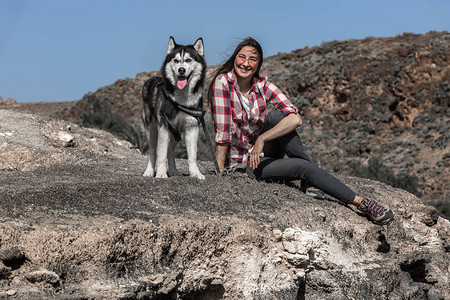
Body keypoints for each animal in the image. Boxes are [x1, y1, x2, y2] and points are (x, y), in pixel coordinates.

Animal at [142, 36, 206, 179]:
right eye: (176, 60)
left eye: (188, 60)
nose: (181, 70)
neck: (181, 100)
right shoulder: (164, 127)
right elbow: (161, 154)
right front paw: (160, 173)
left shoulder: (192, 128)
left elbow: (192, 156)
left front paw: (196, 173)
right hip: (152, 129)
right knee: (153, 151)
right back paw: (149, 171)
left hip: (175, 132)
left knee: (170, 149)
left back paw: (173, 171)